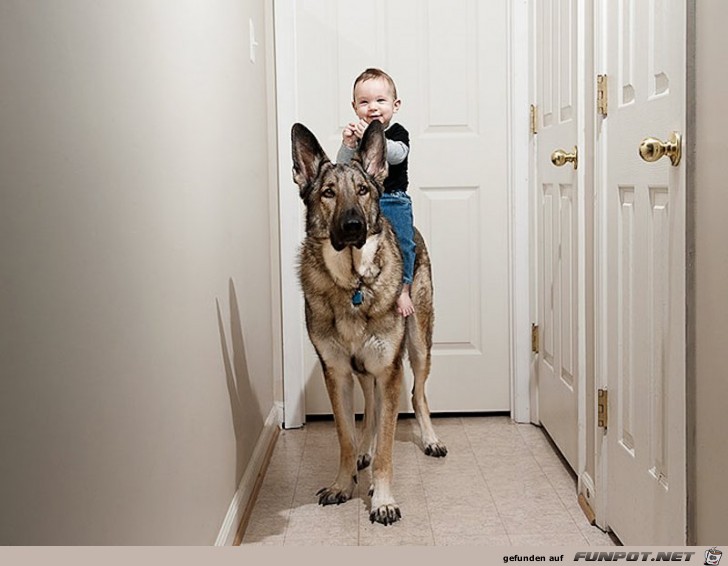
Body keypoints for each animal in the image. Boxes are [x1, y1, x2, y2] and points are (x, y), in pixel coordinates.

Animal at [292, 121, 446, 528]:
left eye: (362, 190)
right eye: (328, 192)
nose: (352, 225)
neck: (353, 284)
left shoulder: (388, 370)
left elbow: (388, 448)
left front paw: (383, 500)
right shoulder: (337, 373)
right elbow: (346, 435)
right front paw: (344, 483)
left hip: (418, 347)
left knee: (417, 394)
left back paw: (429, 439)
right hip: (365, 370)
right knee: (373, 410)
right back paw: (366, 448)